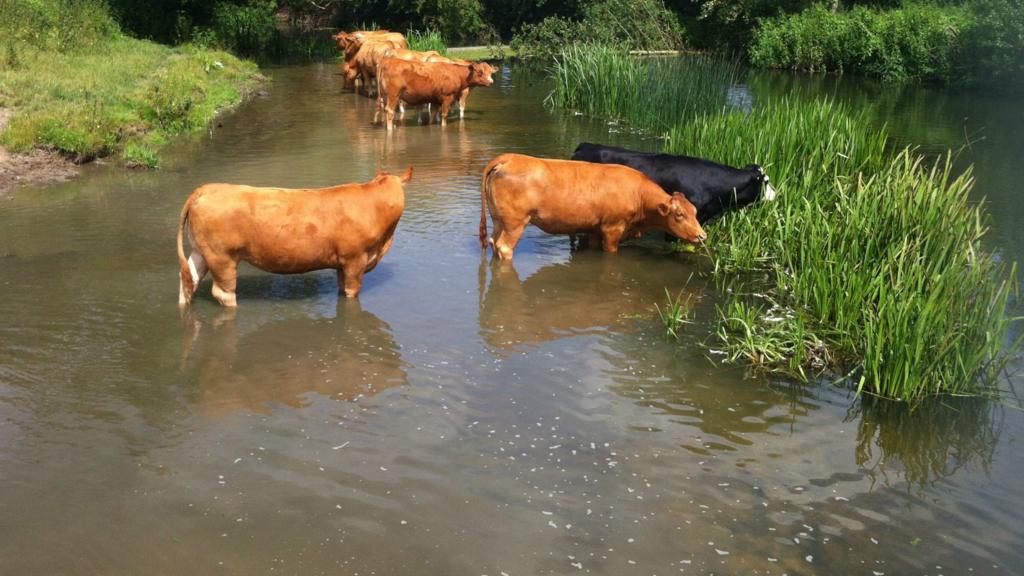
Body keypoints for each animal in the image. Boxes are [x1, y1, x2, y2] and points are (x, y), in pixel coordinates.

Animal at [176, 166, 411, 305]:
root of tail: (205, 189)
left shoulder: (341, 264)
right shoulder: (355, 259)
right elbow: (351, 292)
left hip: (201, 251)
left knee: (189, 278)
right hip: (221, 257)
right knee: (223, 292)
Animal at [477, 153, 704, 259]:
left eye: (695, 211)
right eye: (679, 215)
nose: (702, 236)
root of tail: (509, 158)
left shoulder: (595, 229)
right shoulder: (613, 228)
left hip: (499, 219)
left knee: (493, 242)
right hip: (515, 222)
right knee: (504, 247)